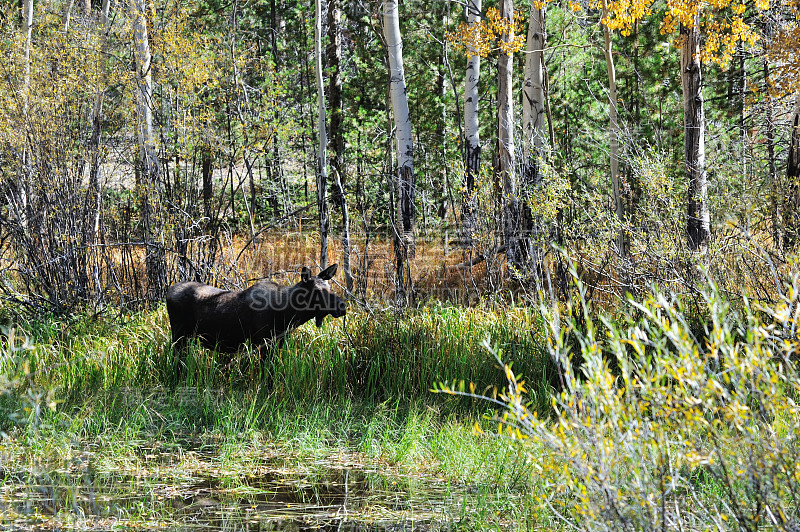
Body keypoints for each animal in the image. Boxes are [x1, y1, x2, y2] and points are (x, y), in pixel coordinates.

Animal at [167, 264, 346, 356]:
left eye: (330, 287)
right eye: (316, 290)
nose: (342, 306)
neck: (288, 314)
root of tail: (168, 291)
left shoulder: (278, 342)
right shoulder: (264, 342)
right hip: (179, 336)